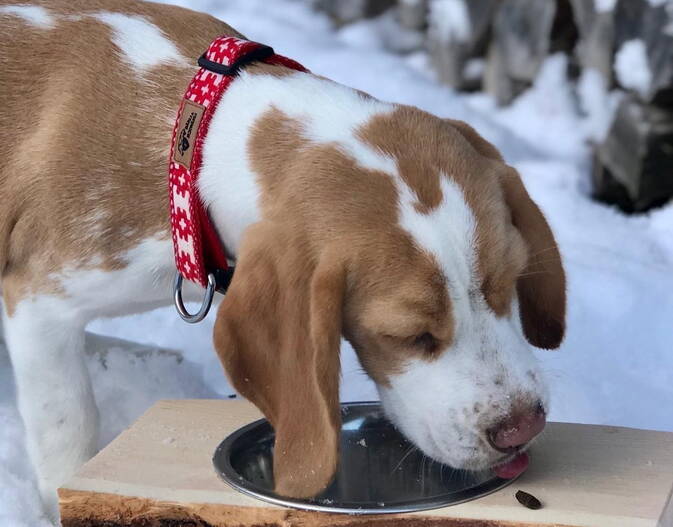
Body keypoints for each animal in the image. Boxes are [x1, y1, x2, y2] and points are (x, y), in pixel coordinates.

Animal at [0, 0, 564, 520]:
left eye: (511, 285)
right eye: (409, 336)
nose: (523, 426)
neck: (197, 137)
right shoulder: (40, 305)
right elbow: (68, 432)